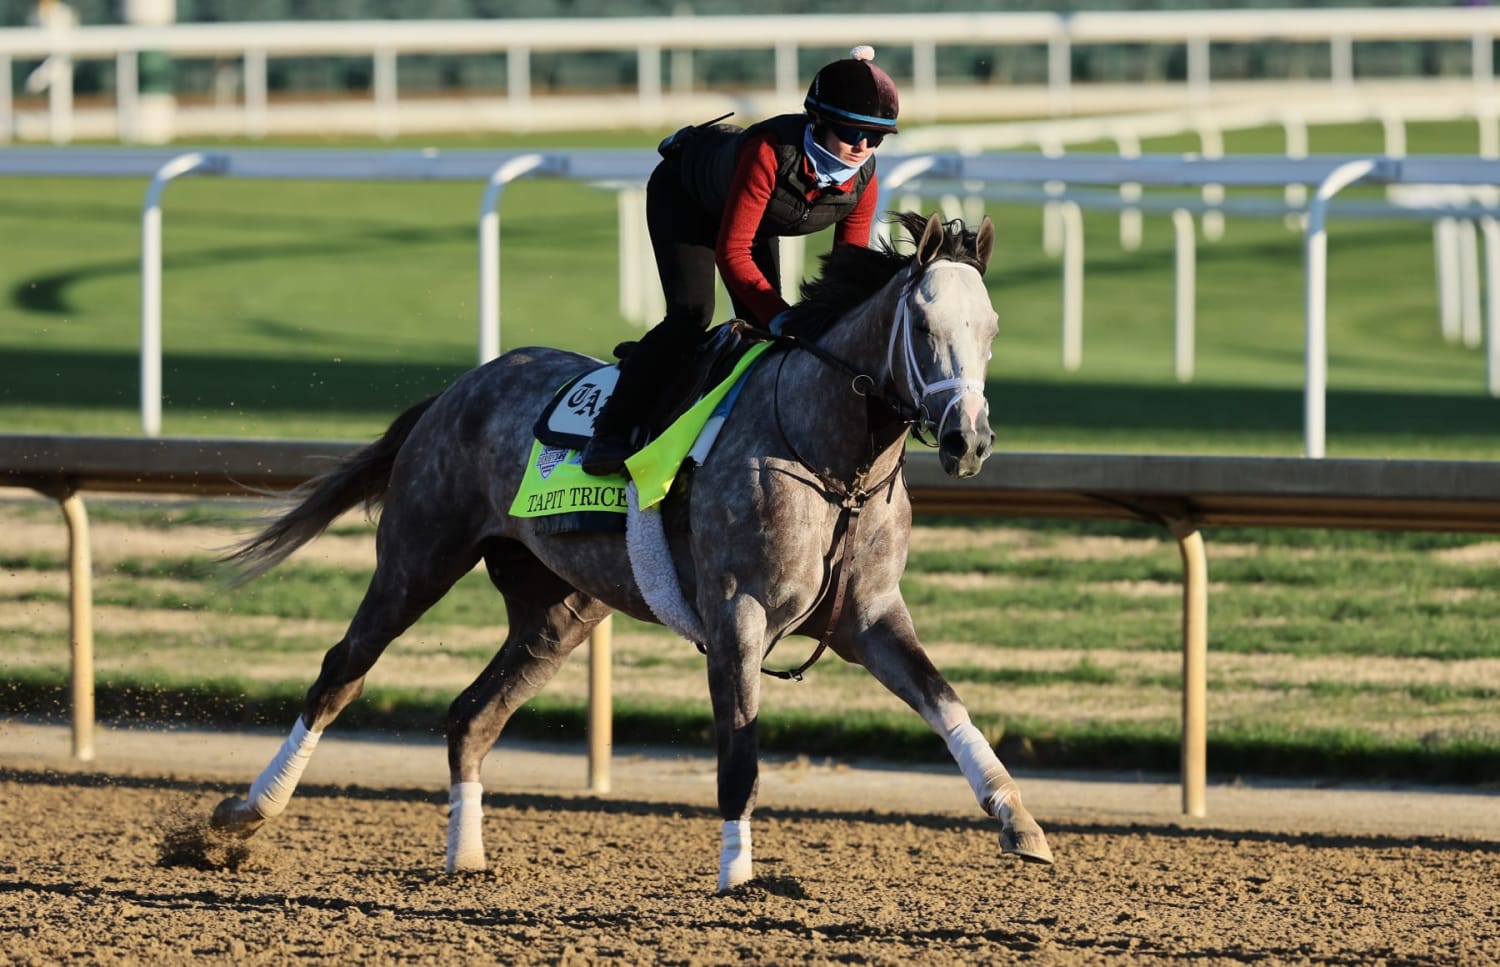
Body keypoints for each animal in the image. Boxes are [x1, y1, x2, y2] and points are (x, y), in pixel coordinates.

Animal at [211, 211, 1056, 887]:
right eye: (925, 327)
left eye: (992, 331)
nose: (969, 440)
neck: (830, 461)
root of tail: (454, 391)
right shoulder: (737, 614)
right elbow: (740, 752)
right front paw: (737, 876)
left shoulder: (869, 615)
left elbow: (947, 701)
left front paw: (1019, 820)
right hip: (418, 556)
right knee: (341, 672)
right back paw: (249, 809)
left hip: (558, 612)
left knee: (472, 714)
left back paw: (466, 857)